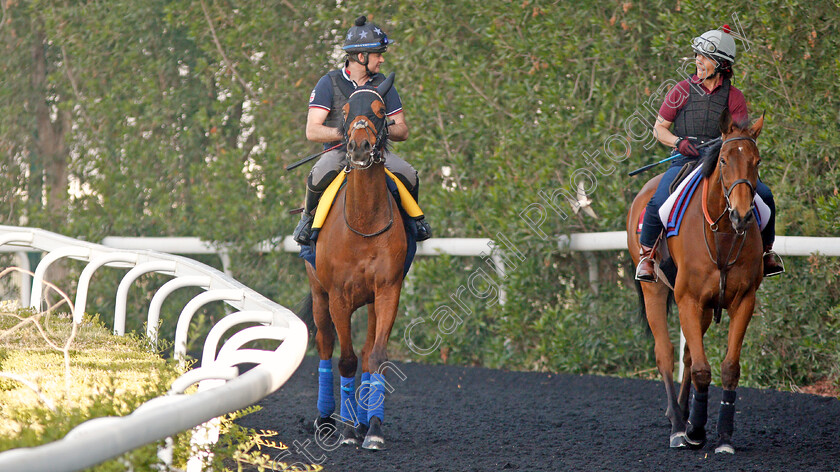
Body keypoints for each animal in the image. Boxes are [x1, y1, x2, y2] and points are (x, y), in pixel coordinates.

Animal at [306, 73, 406, 450]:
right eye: (347, 111)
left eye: (380, 109)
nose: (360, 148)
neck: (364, 221)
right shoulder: (338, 295)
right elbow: (345, 360)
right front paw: (347, 430)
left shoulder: (388, 290)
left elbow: (374, 357)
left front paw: (372, 428)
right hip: (318, 294)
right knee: (325, 346)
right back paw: (325, 420)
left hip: (372, 302)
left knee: (365, 352)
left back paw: (363, 421)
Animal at [628, 110, 764, 454]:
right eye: (724, 160)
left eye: (756, 161)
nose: (742, 215)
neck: (723, 235)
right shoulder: (687, 299)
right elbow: (702, 368)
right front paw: (696, 431)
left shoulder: (744, 300)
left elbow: (728, 368)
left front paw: (724, 435)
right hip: (654, 288)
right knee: (665, 353)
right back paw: (678, 426)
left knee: (688, 355)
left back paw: (682, 414)